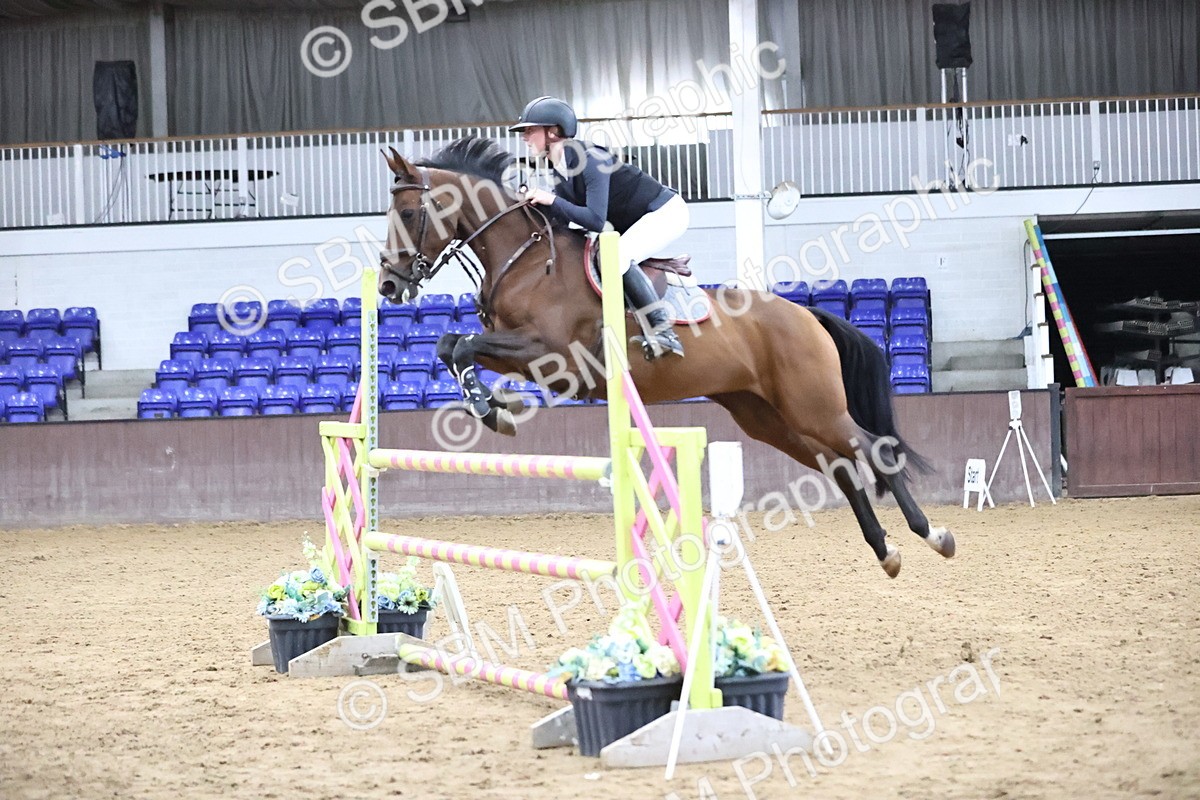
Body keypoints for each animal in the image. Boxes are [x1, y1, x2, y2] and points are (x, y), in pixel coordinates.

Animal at [377, 136, 955, 578]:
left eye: (407, 212)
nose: (387, 284)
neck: (524, 259)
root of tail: (807, 315)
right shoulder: (520, 353)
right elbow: (452, 346)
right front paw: (496, 408)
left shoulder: (553, 355)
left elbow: (463, 345)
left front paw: (494, 410)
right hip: (767, 416)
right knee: (839, 464)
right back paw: (886, 551)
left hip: (813, 405)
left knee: (872, 448)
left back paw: (933, 535)